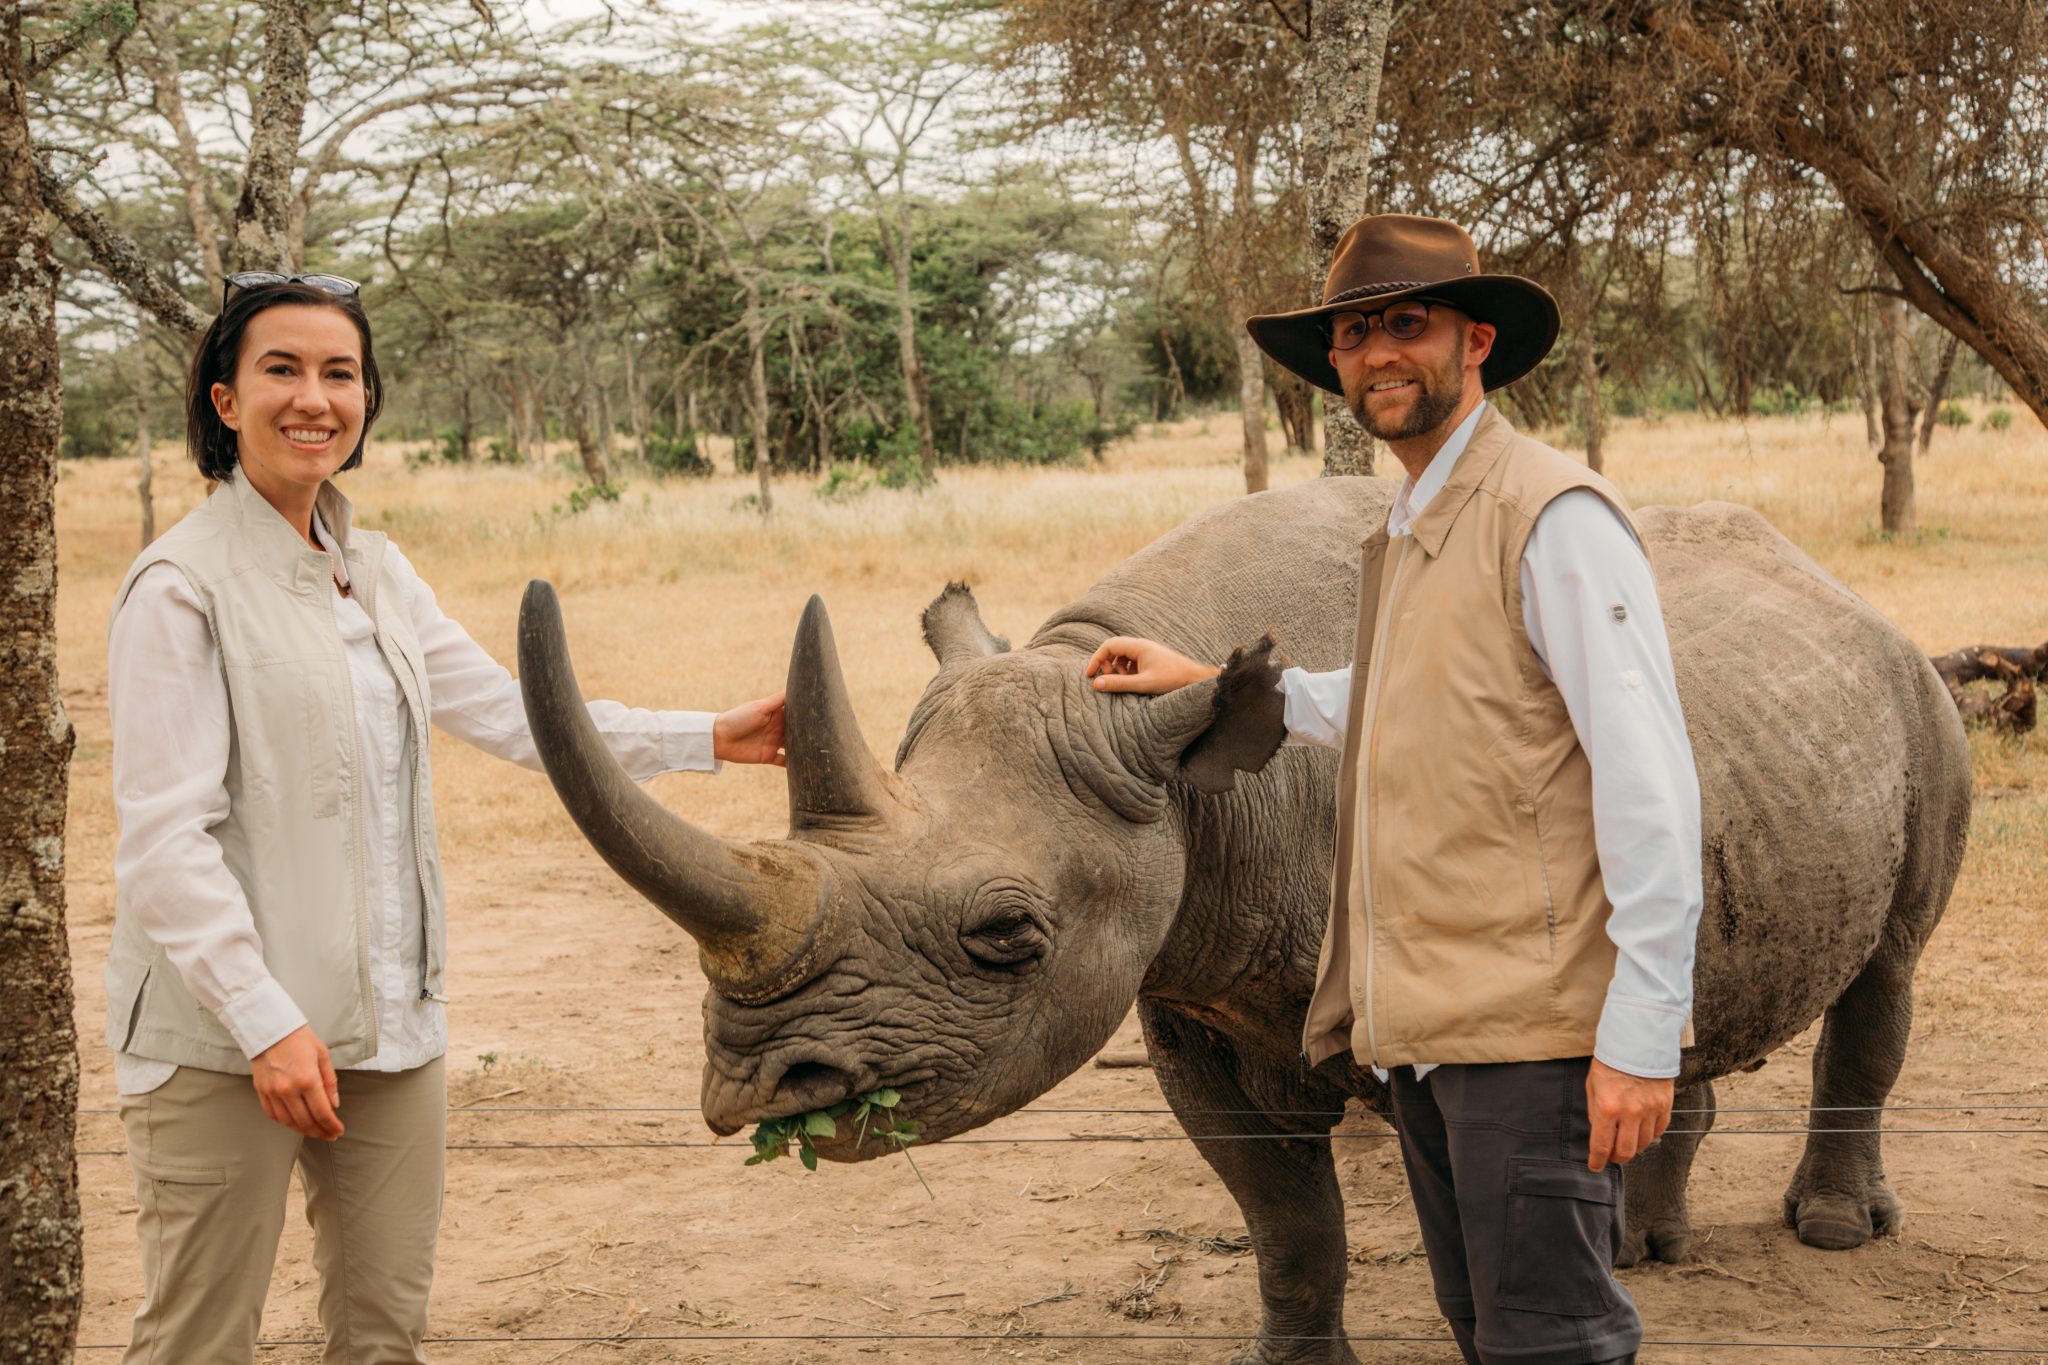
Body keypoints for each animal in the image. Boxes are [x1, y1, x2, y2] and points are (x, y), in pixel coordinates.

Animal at [512, 474, 1966, 1358]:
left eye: (1007, 938)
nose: (763, 1087)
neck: (1195, 780)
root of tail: (1843, 593)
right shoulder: (1190, 991)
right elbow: (1285, 1215)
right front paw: (1297, 1350)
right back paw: (1653, 1248)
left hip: (1916, 690)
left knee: (1886, 970)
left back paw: (1831, 1232)